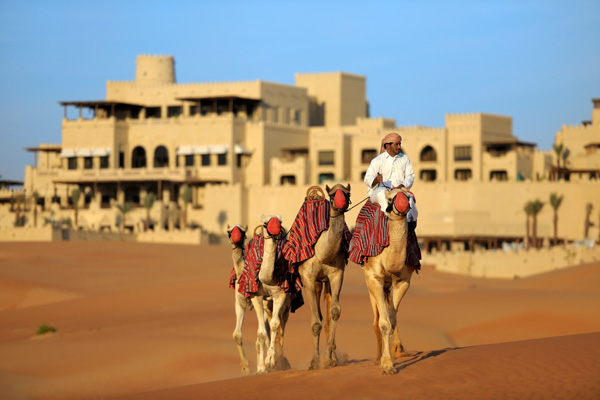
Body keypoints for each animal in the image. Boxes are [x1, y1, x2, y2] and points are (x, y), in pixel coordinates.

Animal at [227, 225, 268, 376]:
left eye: (243, 231)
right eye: (229, 231)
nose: (236, 238)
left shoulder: (259, 299)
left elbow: (262, 333)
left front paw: (262, 367)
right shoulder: (240, 302)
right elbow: (237, 334)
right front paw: (246, 368)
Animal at [296, 184, 352, 368]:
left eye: (347, 193)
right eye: (332, 194)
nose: (341, 203)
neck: (321, 252)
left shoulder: (336, 274)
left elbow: (335, 312)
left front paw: (329, 356)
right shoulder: (308, 278)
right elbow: (315, 323)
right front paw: (314, 362)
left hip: (324, 282)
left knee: (327, 316)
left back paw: (332, 357)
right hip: (315, 282)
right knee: (319, 317)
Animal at [358, 188, 414, 376]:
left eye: (408, 196)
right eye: (389, 198)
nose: (403, 204)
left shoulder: (403, 281)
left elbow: (392, 321)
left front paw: (389, 361)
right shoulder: (375, 279)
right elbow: (383, 324)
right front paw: (386, 364)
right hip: (370, 284)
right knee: (376, 321)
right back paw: (377, 358)